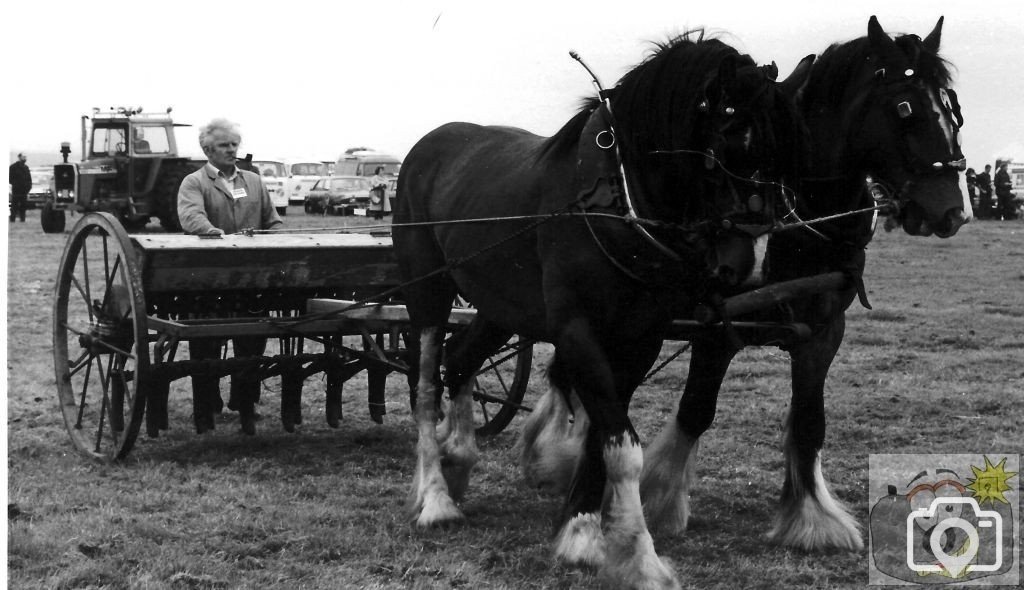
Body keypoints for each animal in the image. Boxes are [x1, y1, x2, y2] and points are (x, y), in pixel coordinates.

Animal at [395, 33, 802, 590]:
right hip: (428, 294)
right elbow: (621, 447)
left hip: (502, 306)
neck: (615, 203)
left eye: (780, 148)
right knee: (426, 385)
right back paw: (436, 497)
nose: (740, 262)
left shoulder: (638, 339)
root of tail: (427, 146)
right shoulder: (577, 331)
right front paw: (641, 557)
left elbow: (601, 440)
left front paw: (581, 533)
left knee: (460, 360)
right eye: (731, 141)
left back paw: (458, 460)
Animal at [630, 17, 966, 553]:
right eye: (904, 107)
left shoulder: (823, 332)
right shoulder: (715, 330)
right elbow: (695, 411)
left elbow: (809, 423)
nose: (950, 211)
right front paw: (658, 502)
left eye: (951, 106)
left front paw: (812, 520)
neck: (796, 220)